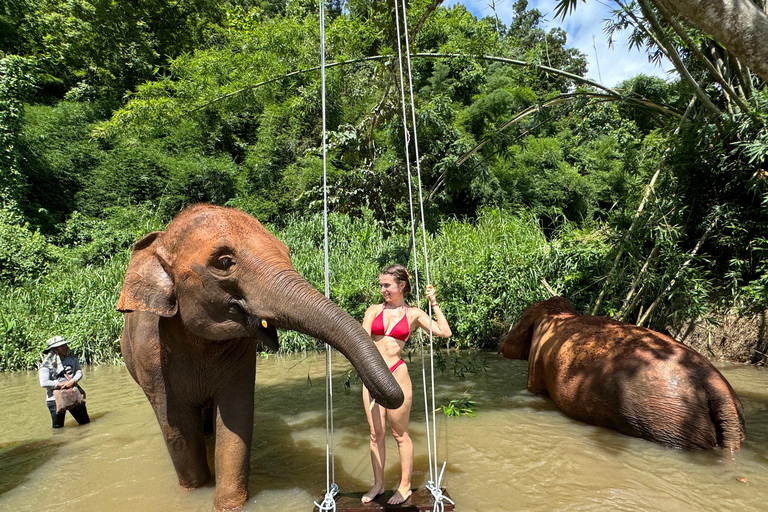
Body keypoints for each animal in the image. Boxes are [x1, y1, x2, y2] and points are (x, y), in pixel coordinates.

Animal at [117, 205, 404, 512]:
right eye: (224, 262)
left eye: (286, 252)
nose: (379, 395)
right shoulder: (151, 357)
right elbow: (177, 431)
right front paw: (197, 491)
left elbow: (235, 420)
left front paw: (227, 504)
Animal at [498, 296, 744, 452]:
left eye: (520, 316)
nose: (500, 345)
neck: (558, 314)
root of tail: (716, 385)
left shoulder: (536, 362)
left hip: (673, 422)